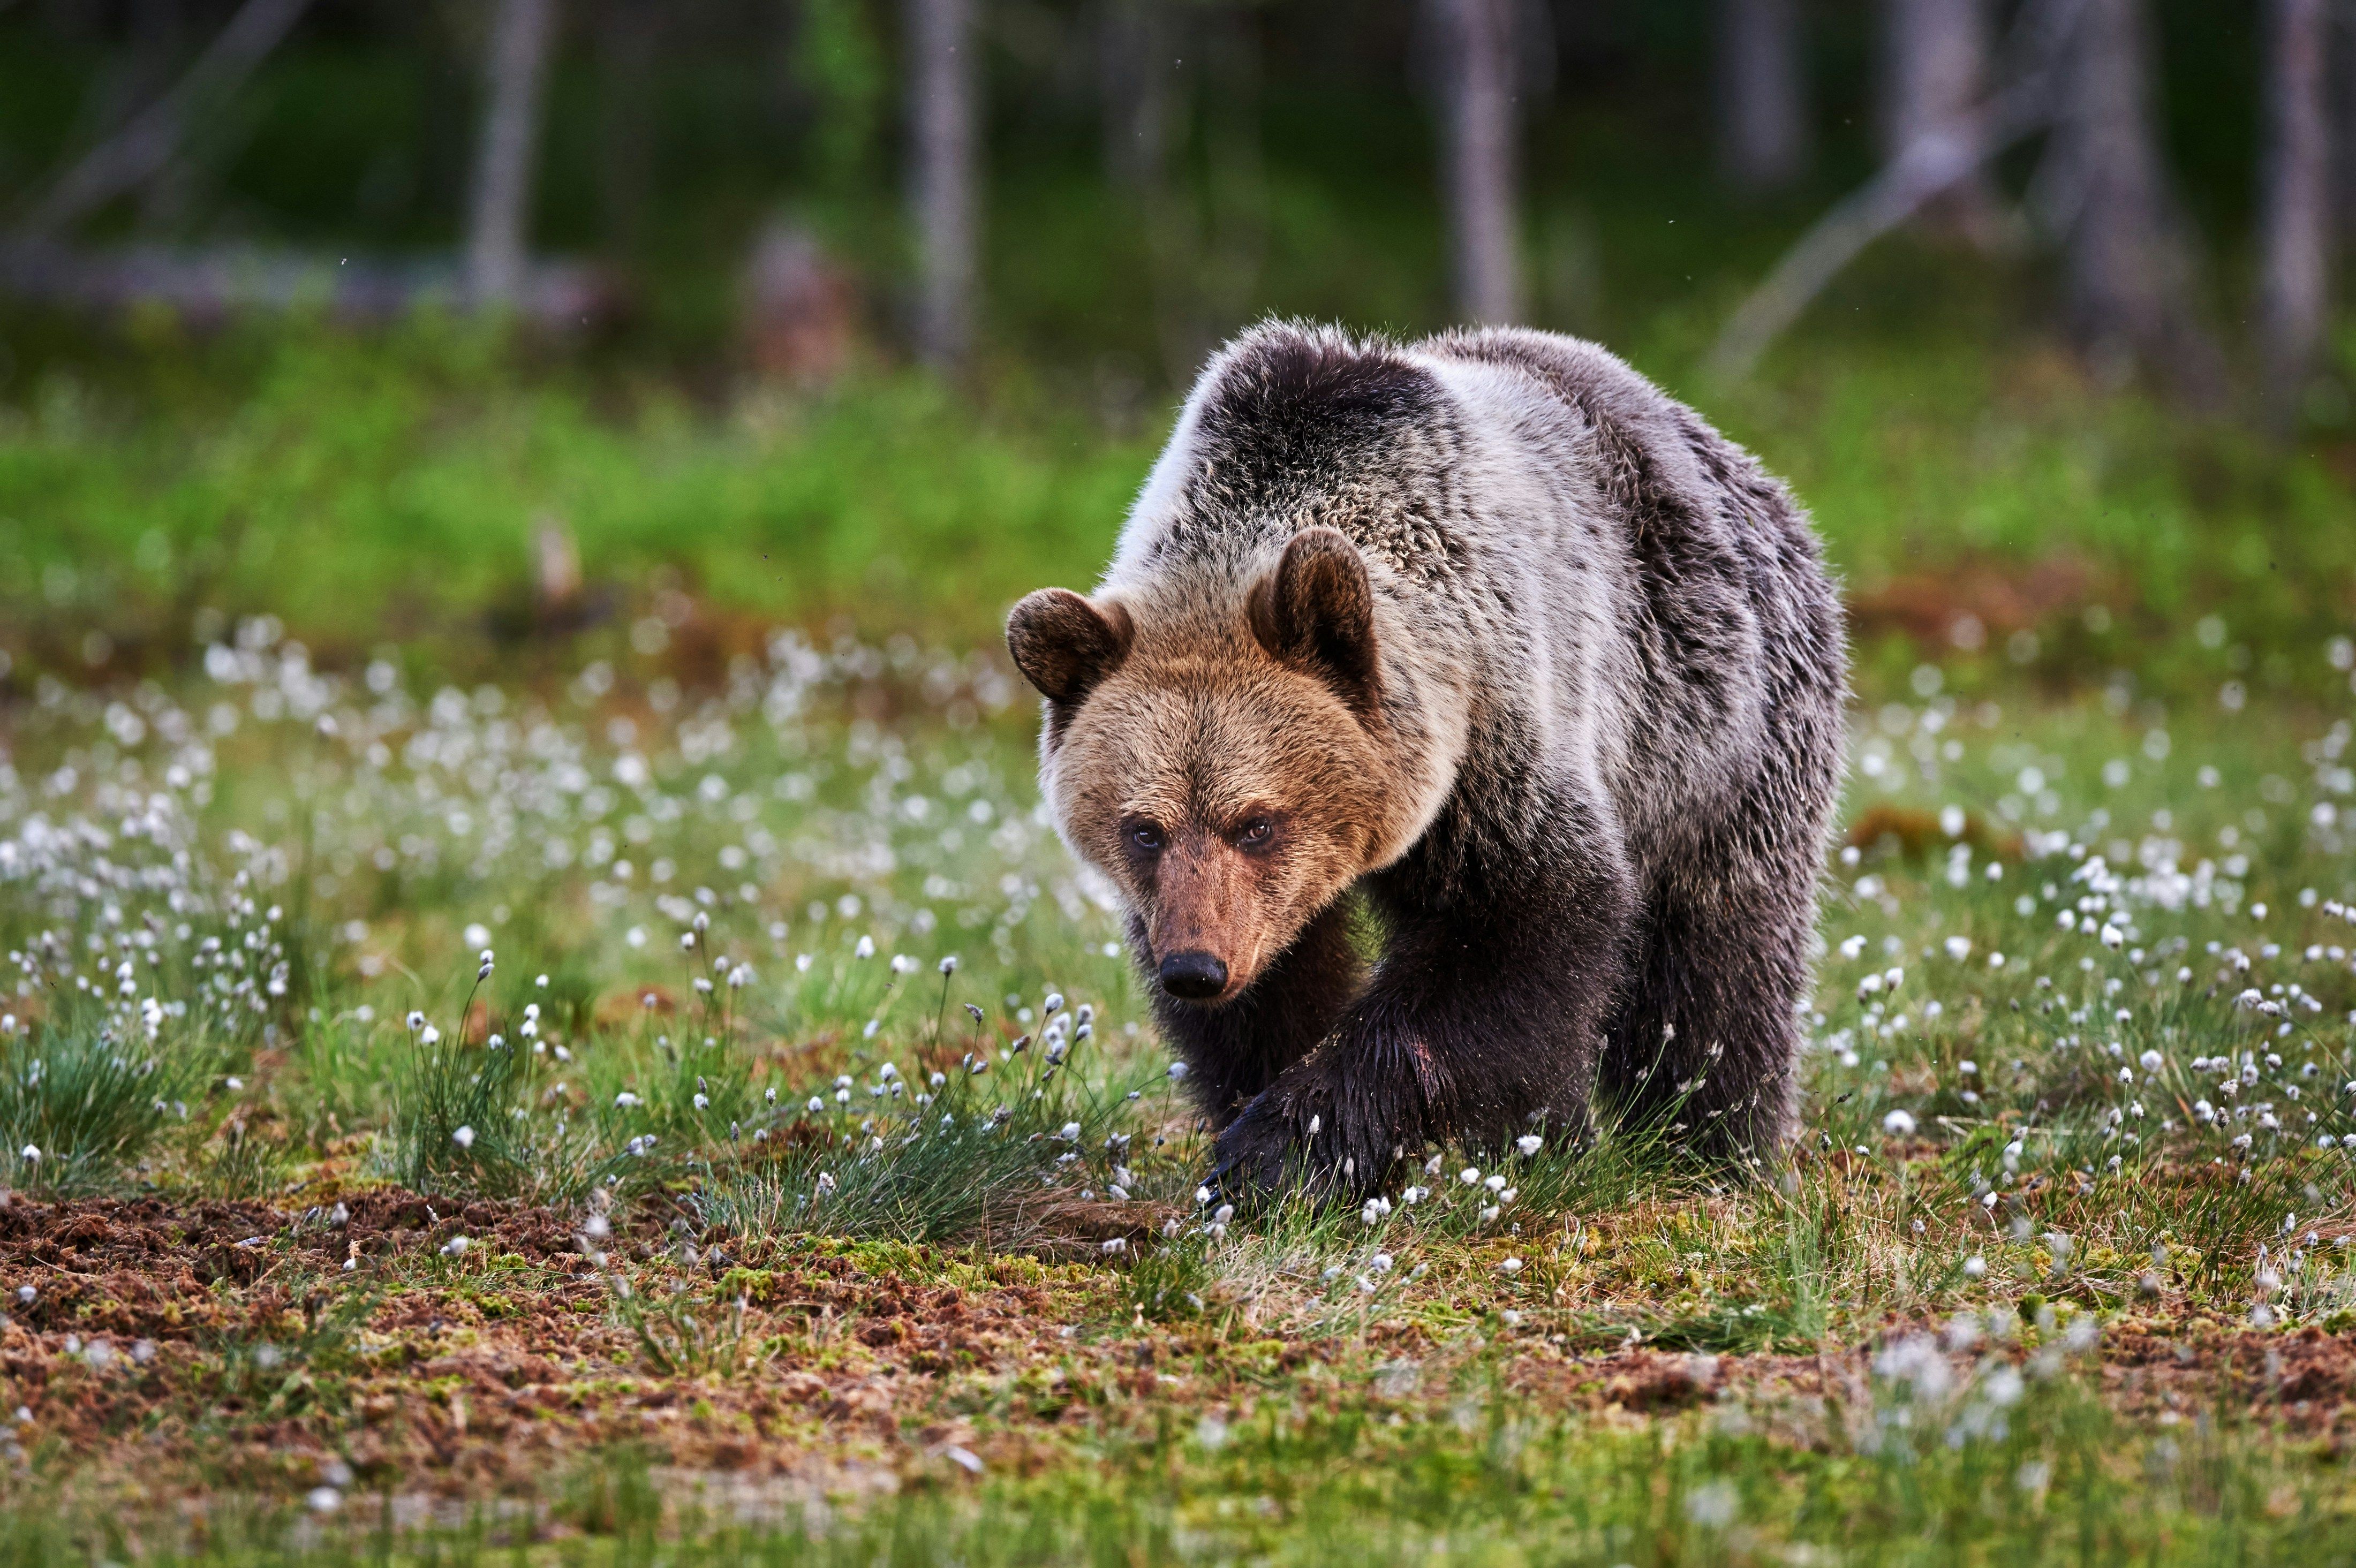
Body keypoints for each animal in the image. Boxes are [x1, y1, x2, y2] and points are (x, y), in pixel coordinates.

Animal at [1005, 321, 1848, 1200]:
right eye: (1143, 829)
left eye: (1258, 823)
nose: (1196, 968)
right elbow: (1276, 996)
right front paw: (1271, 1119)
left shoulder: (1499, 732)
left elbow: (1510, 939)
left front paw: (1279, 1149)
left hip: (1718, 732)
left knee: (1716, 968)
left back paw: (1714, 1147)